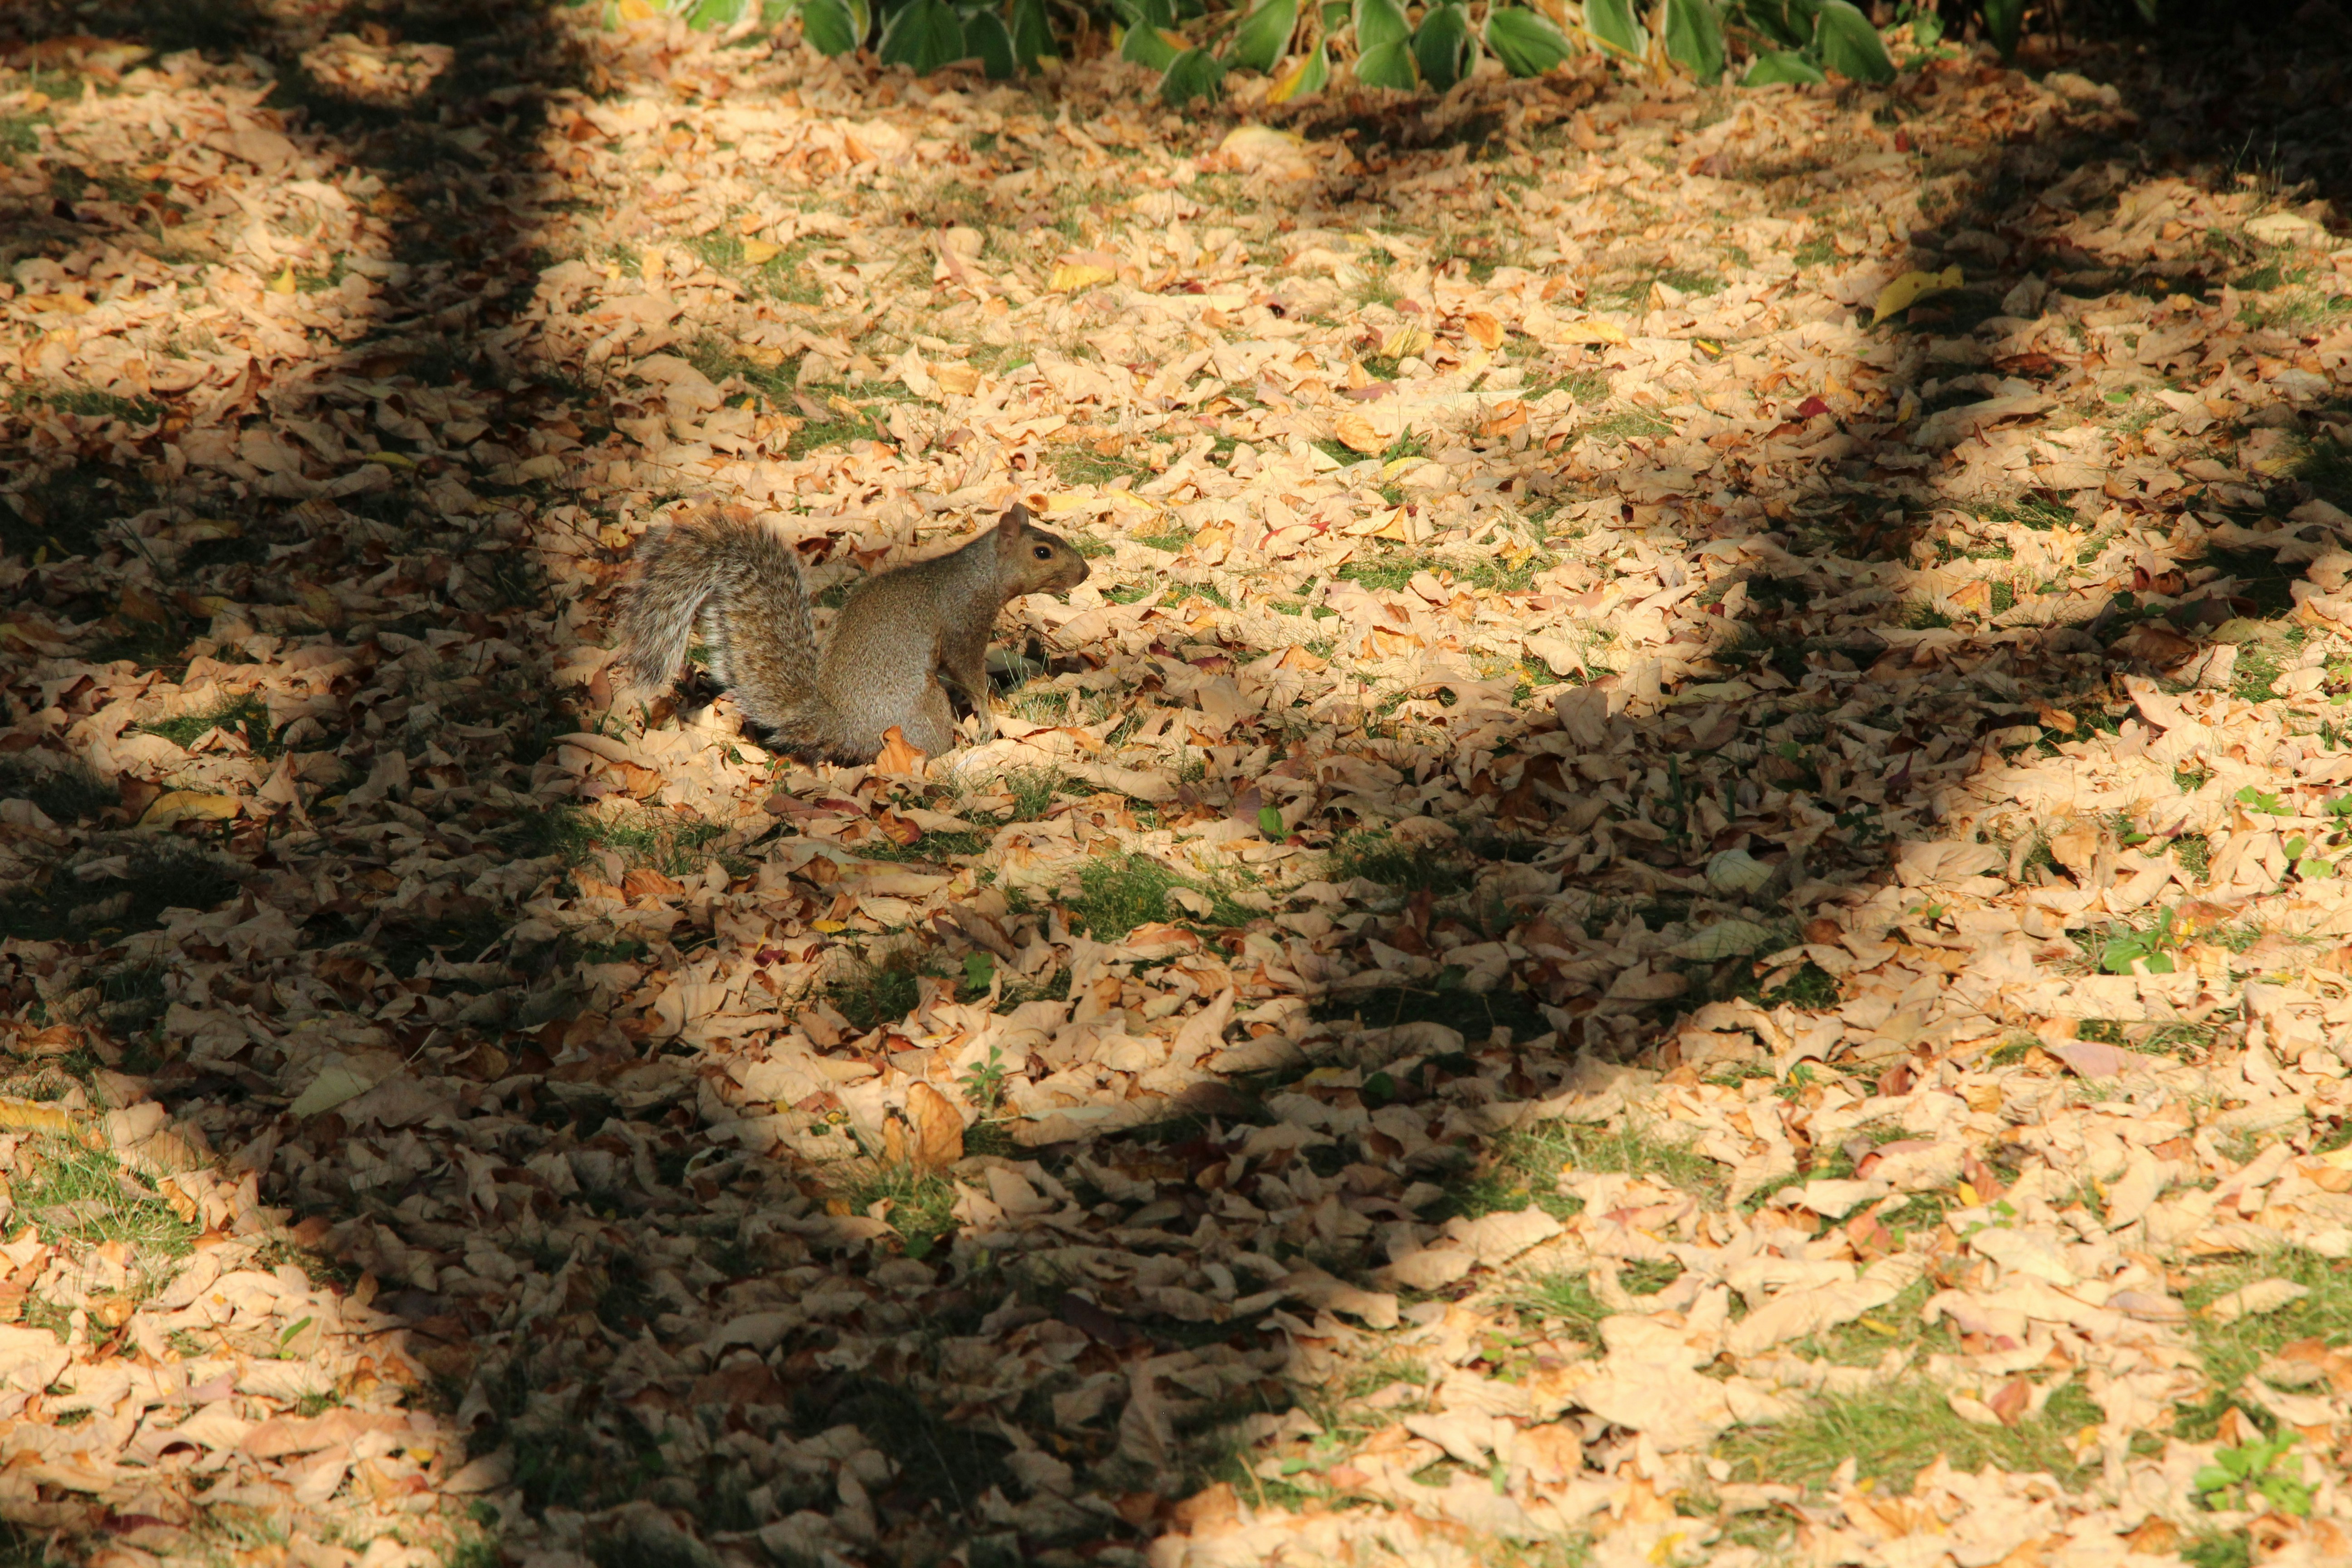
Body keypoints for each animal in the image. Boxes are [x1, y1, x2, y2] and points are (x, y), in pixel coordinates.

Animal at [614, 503, 1091, 763]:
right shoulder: (963, 623)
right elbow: (970, 676)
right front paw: (989, 719)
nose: (1086, 573)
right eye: (1042, 552)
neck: (979, 575)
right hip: (921, 712)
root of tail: (843, 729)